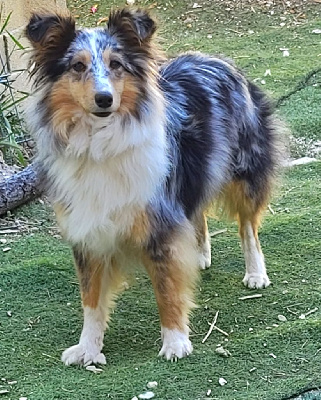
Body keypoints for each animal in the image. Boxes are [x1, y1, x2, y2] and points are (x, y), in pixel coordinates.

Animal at [25, 8, 280, 366]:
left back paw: (256, 272)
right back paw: (199, 254)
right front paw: (88, 347)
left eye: (116, 64)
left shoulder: (161, 225)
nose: (104, 99)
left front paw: (175, 342)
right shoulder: (88, 230)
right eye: (77, 66)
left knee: (248, 228)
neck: (100, 142)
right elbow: (91, 299)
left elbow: (167, 290)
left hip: (246, 174)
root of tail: (215, 58)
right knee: (198, 213)